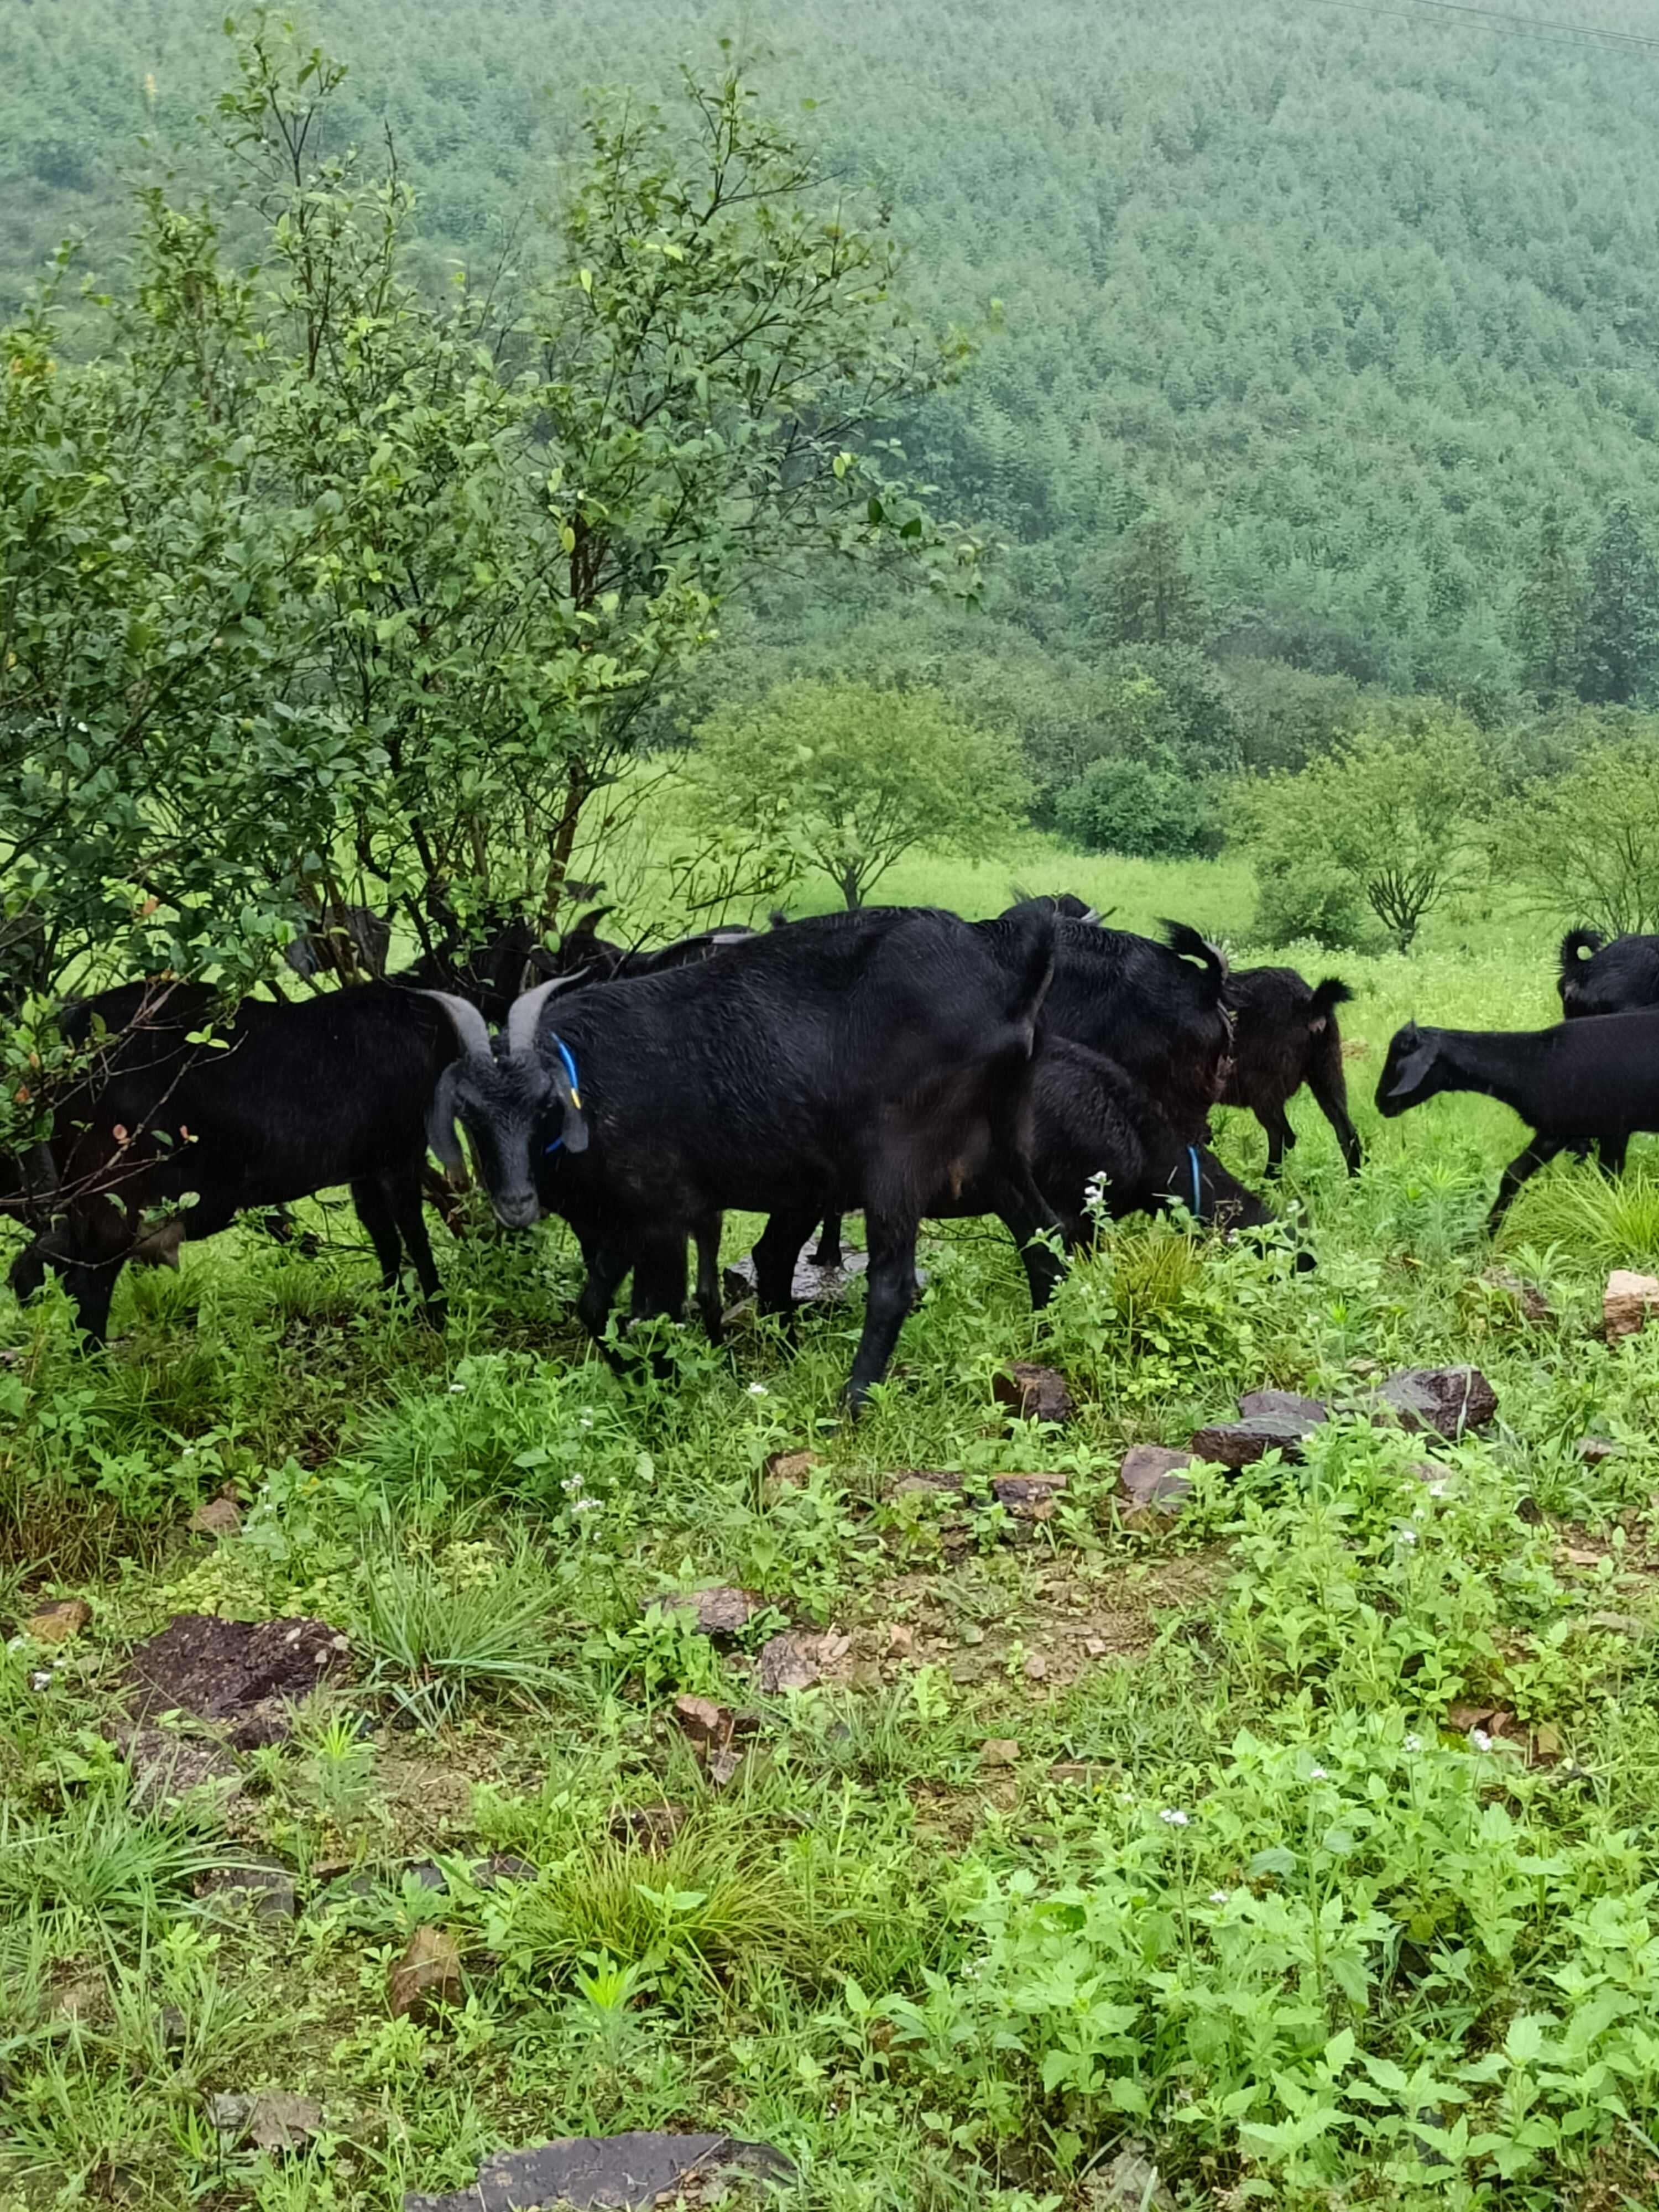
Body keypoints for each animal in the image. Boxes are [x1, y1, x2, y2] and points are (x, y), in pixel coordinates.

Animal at [8, 982, 462, 1327]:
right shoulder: (399, 1154)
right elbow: (413, 1232)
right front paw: (438, 1310)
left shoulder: (365, 1165)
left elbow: (383, 1234)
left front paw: (395, 1306)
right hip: (113, 1192)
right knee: (87, 1284)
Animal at [429, 898, 1066, 1398]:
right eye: (468, 1113)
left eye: (544, 1104)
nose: (515, 1203)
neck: (591, 1081)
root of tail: (1006, 966)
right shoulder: (621, 1223)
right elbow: (596, 1308)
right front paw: (636, 1380)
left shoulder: (663, 1215)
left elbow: (655, 1313)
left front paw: (664, 1397)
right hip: (996, 1151)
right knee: (1044, 1239)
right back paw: (1046, 1342)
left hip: (897, 1157)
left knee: (892, 1283)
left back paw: (853, 1399)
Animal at [1221, 969, 1363, 1177]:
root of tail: (1309, 1003)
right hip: (1327, 1073)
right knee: (1347, 1133)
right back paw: (1356, 1182)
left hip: (1263, 1087)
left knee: (1281, 1135)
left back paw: (1267, 1180)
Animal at [1380, 1013, 1659, 1239]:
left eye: (1396, 1061)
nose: (1380, 1103)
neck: (1530, 1065)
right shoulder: (1557, 1131)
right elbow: (1513, 1174)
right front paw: (1487, 1236)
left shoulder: (1611, 1127)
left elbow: (1610, 1179)